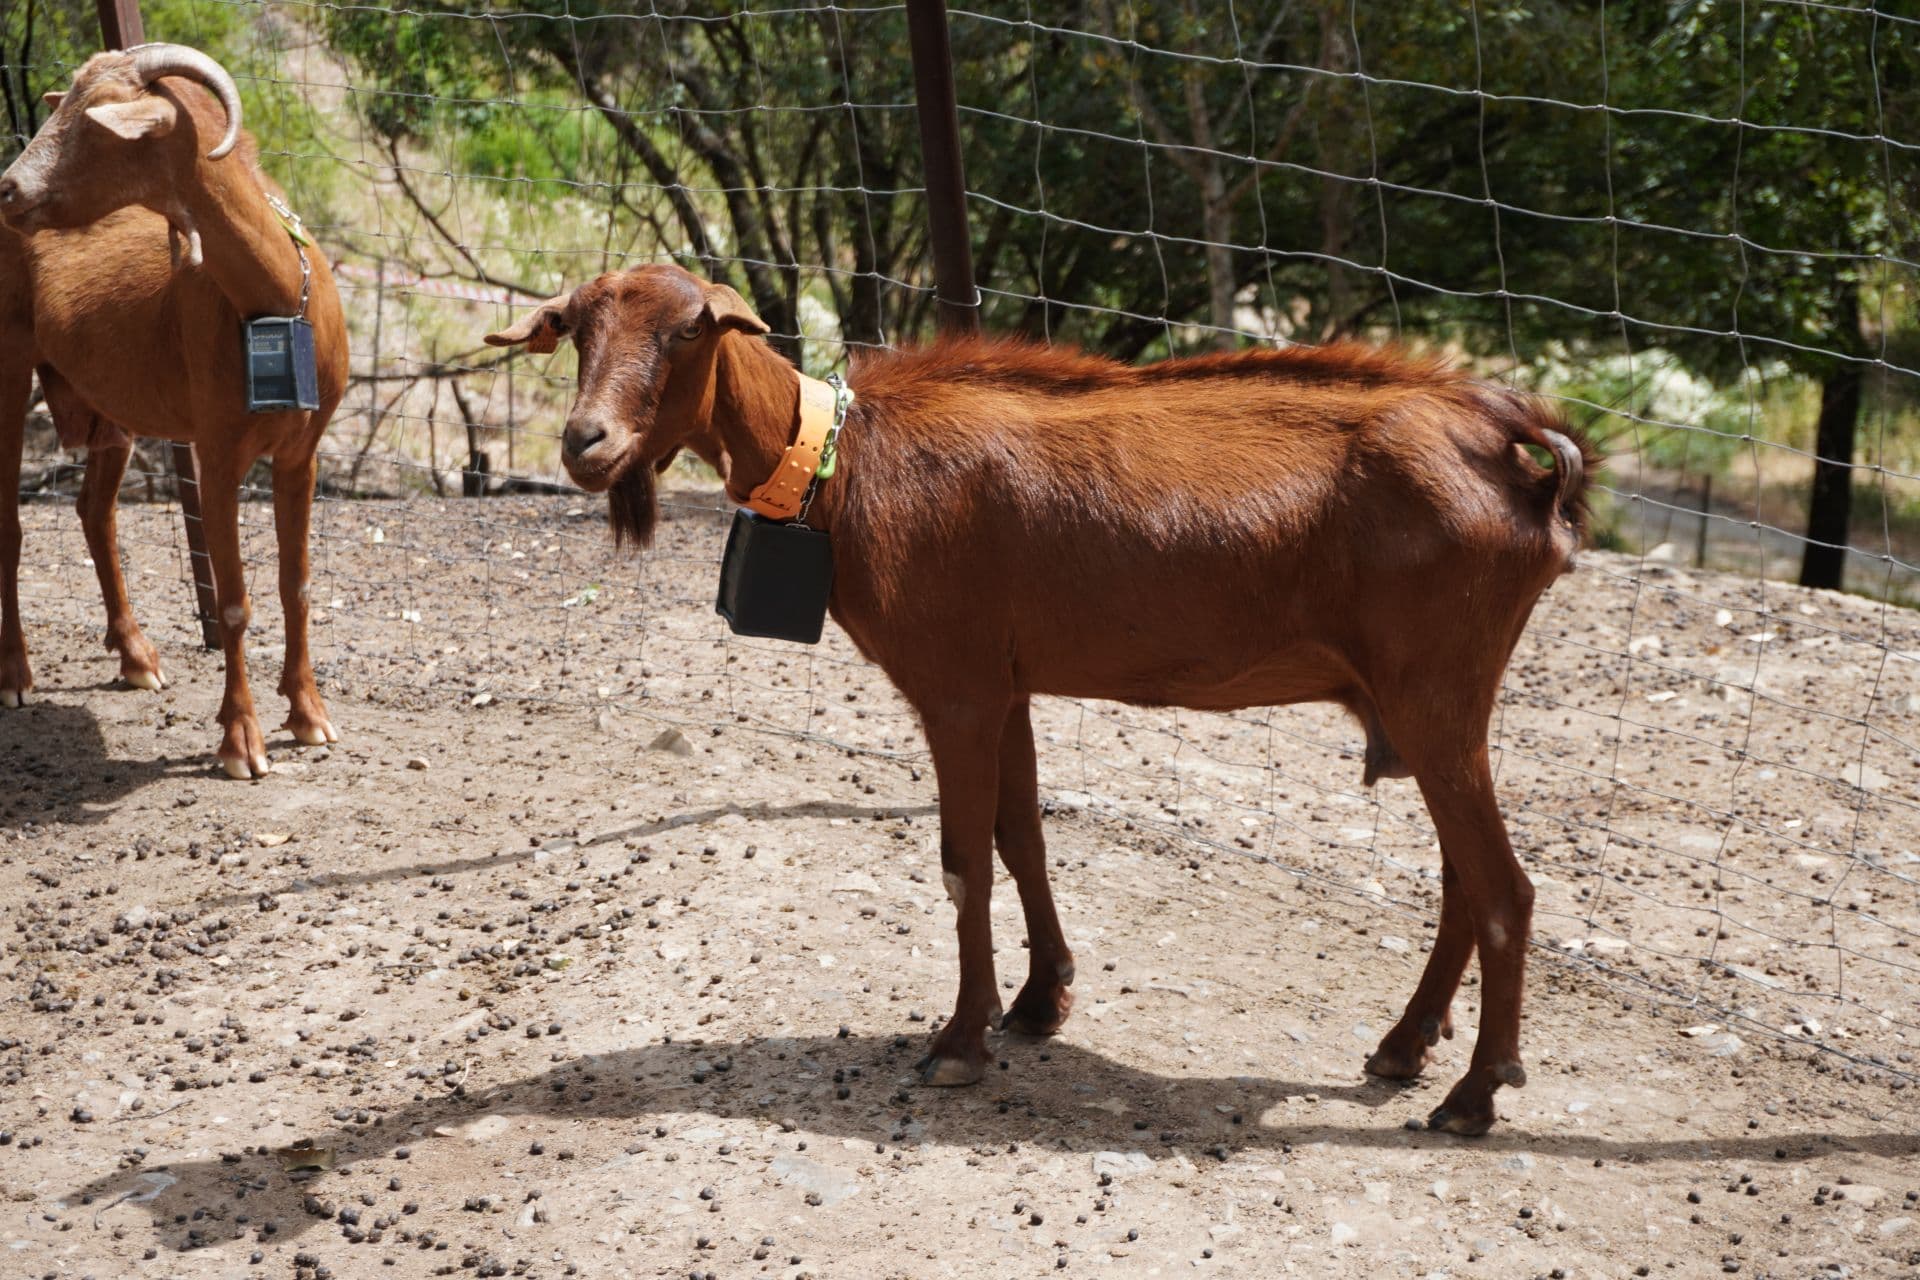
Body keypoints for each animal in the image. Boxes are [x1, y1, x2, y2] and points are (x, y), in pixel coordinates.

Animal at [0, 45, 349, 777]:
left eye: (96, 122)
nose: (9, 190)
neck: (273, 298)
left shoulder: (301, 452)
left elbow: (297, 584)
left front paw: (308, 715)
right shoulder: (216, 451)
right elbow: (235, 601)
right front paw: (241, 740)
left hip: (107, 402)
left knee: (94, 512)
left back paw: (136, 656)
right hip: (8, 363)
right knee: (11, 526)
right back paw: (15, 674)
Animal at [486, 264, 1597, 1136]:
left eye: (689, 329)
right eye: (577, 327)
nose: (586, 443)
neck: (846, 466)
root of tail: (1515, 446)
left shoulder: (955, 684)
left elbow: (962, 859)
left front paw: (960, 1040)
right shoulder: (1006, 682)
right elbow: (1023, 834)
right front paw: (1038, 1000)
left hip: (1436, 690)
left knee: (1504, 889)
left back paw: (1473, 1094)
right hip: (1428, 701)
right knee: (1463, 880)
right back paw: (1405, 1046)